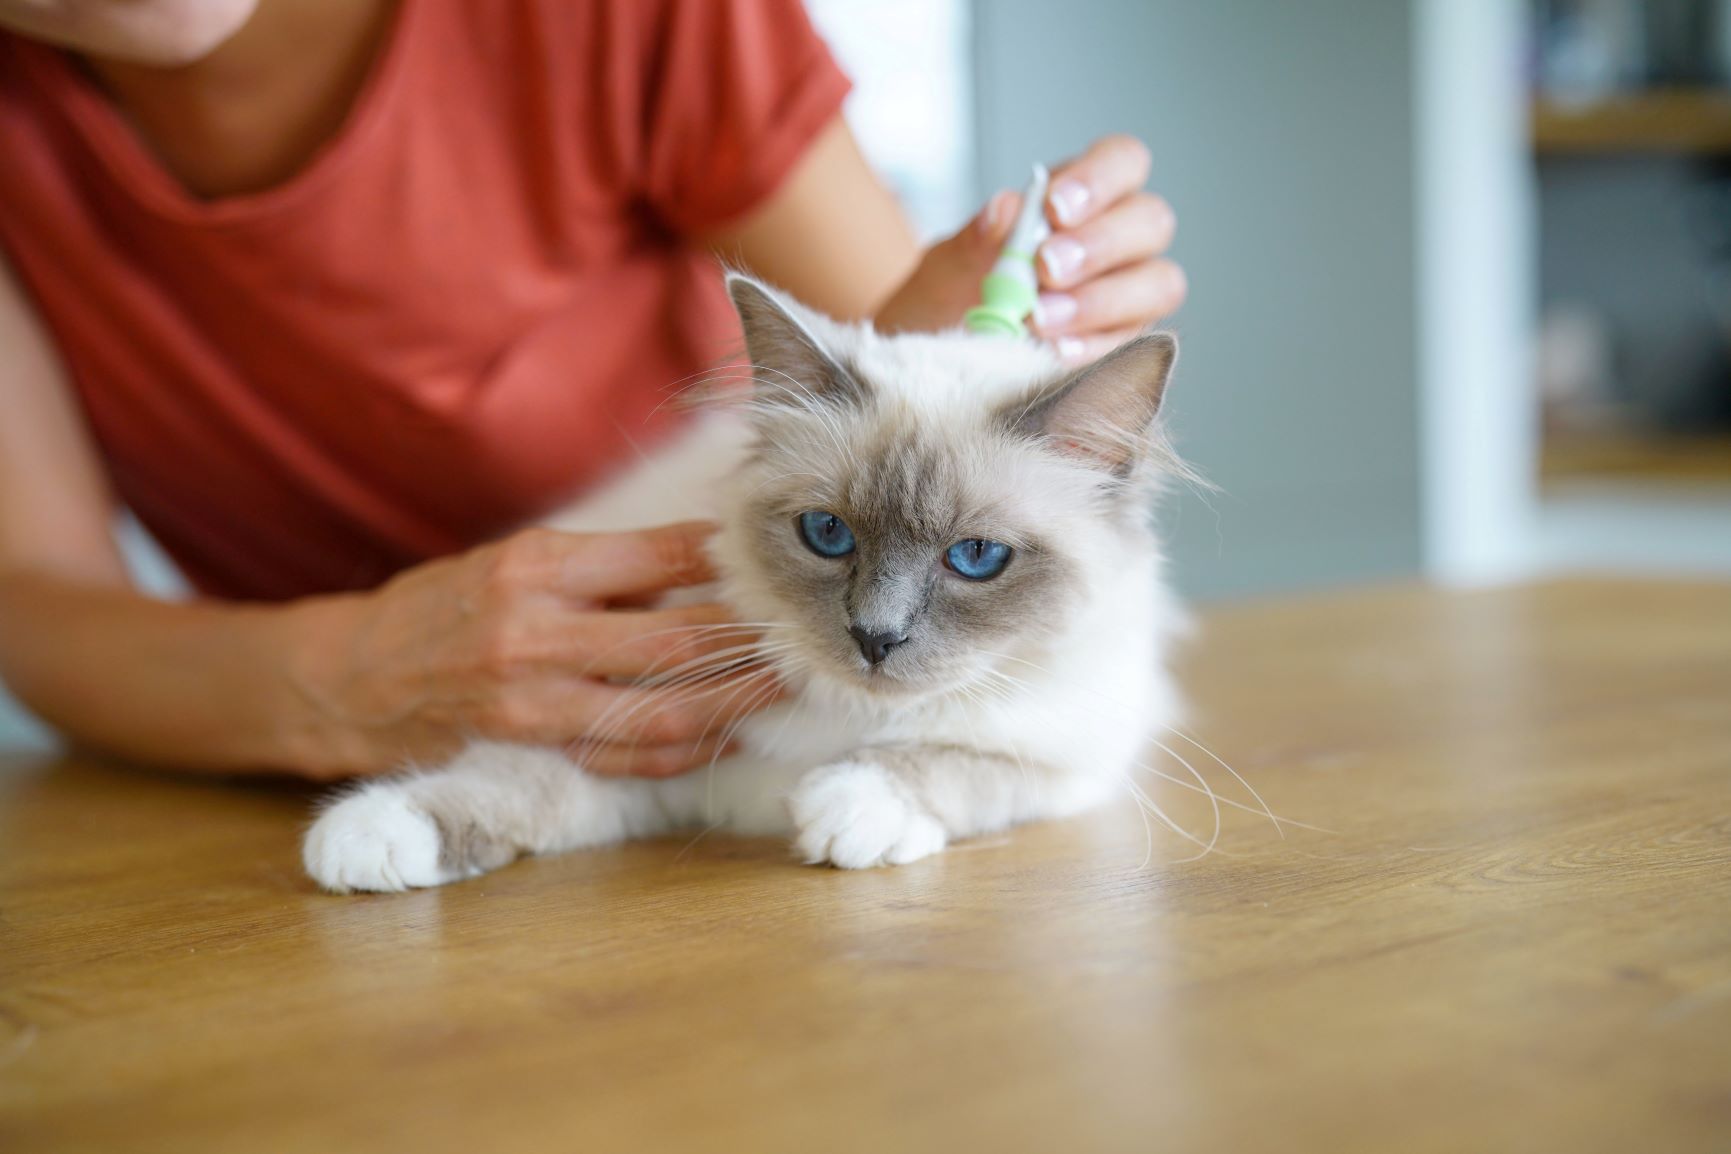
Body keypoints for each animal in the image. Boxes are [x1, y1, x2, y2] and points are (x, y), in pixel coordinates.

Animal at [301, 273, 1190, 892]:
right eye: (827, 534)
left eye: (974, 557)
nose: (874, 638)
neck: (841, 719)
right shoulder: (649, 756)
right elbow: (508, 783)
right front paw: (369, 836)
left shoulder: (1073, 764)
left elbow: (953, 765)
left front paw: (846, 811)